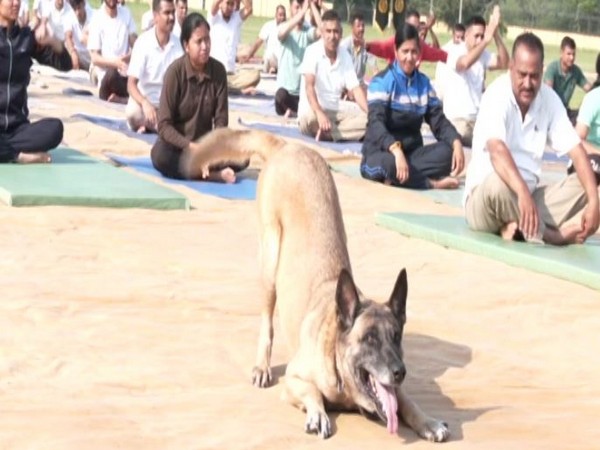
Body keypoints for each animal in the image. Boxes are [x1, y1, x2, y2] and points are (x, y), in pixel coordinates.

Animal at [183, 128, 450, 442]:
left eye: (396, 336)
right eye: (369, 338)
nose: (400, 372)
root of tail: (288, 146)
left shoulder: (395, 390)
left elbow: (407, 402)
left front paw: (428, 420)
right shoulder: (294, 380)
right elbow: (312, 391)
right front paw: (318, 413)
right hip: (270, 260)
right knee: (267, 323)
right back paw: (262, 365)